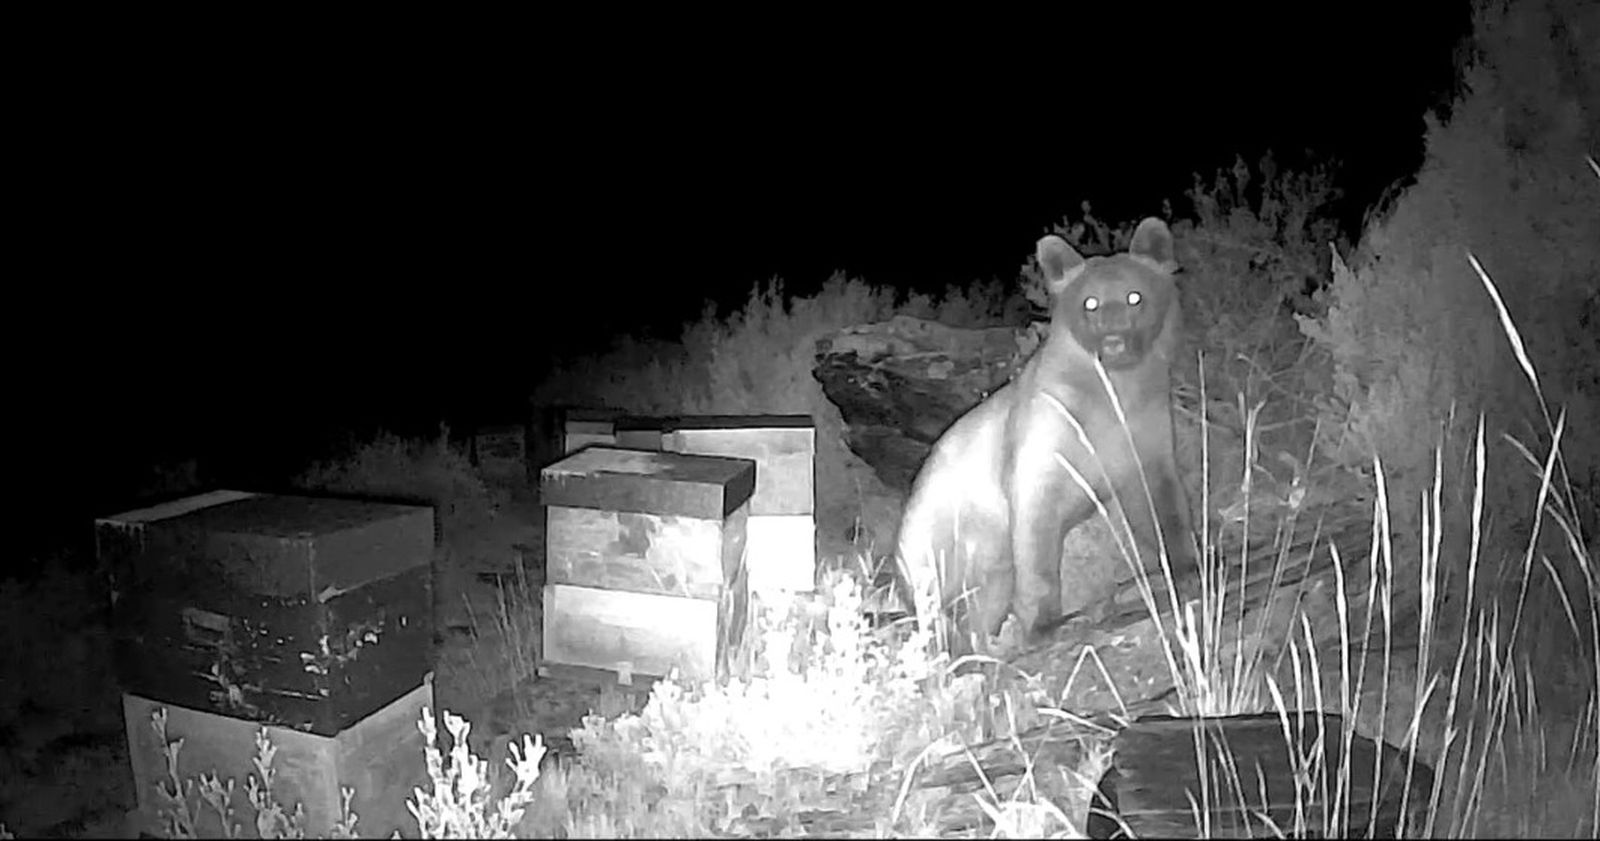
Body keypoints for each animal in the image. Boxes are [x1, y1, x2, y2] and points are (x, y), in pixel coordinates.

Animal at [894, 216, 1195, 651]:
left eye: (1135, 296)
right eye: (1090, 302)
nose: (1114, 340)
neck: (1114, 396)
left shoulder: (1146, 439)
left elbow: (1162, 505)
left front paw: (1187, 564)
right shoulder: (1042, 448)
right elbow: (1036, 542)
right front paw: (1046, 623)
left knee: (981, 607)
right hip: (935, 539)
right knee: (937, 601)